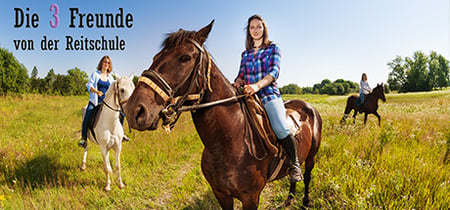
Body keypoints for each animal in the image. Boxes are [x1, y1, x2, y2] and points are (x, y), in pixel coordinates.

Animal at [121, 20, 322, 208]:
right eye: (156, 57)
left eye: (185, 57)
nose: (134, 109)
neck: (227, 143)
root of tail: (307, 106)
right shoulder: (221, 194)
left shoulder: (251, 198)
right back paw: (289, 199)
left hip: (311, 157)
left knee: (307, 176)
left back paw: (305, 201)